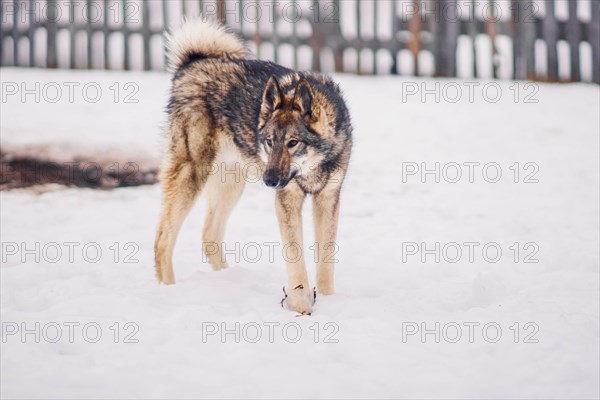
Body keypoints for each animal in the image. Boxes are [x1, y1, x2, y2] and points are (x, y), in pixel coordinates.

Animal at [154, 17, 352, 314]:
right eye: (269, 142)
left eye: (292, 143)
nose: (269, 180)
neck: (312, 166)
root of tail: (192, 62)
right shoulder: (287, 199)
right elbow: (295, 257)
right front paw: (300, 306)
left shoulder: (328, 198)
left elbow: (326, 260)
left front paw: (329, 300)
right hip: (192, 175)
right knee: (163, 238)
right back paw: (168, 290)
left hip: (231, 183)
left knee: (209, 235)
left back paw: (226, 278)